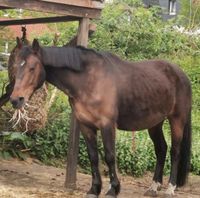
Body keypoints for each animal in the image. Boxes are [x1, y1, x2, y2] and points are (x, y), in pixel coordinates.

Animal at [10, 39, 191, 198]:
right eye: (14, 67)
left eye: (32, 68)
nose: (15, 100)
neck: (88, 79)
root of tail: (181, 74)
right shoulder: (86, 126)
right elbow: (93, 157)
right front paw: (94, 189)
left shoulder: (107, 125)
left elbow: (109, 156)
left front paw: (113, 190)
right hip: (155, 123)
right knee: (161, 149)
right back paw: (153, 187)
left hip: (177, 119)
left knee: (175, 151)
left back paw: (170, 188)